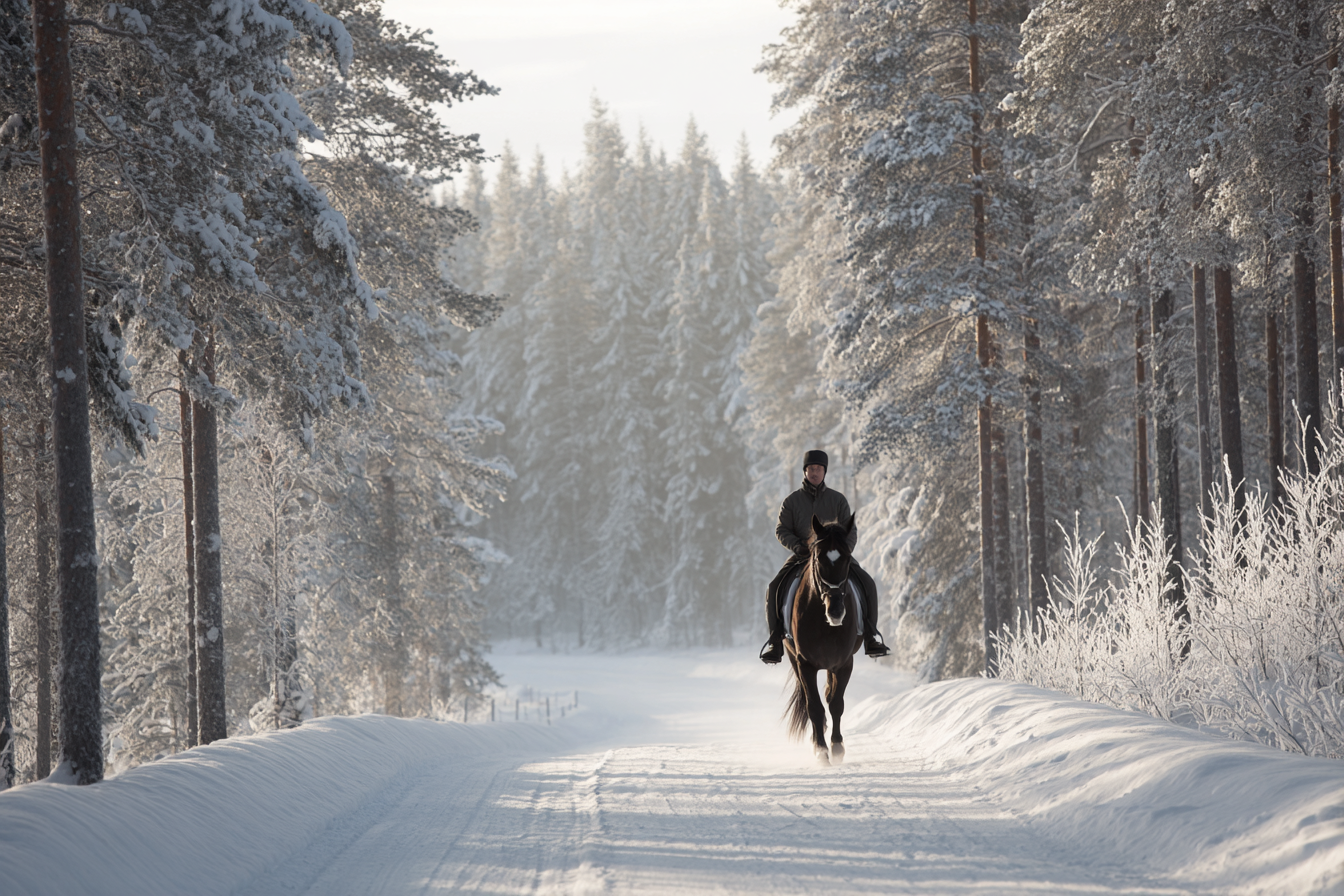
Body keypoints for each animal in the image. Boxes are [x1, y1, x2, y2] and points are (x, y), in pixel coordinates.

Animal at [784, 513, 862, 766]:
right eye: (818, 559)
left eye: (846, 558)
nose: (836, 612)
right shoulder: (805, 664)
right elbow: (815, 708)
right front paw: (821, 751)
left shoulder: (844, 663)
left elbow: (836, 704)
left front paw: (837, 748)